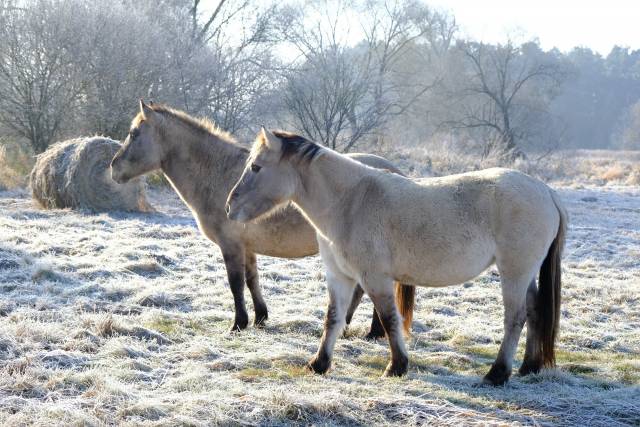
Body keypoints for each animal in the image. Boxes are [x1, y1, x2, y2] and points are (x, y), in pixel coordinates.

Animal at [110, 101, 416, 338]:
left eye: (134, 133)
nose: (113, 167)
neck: (218, 173)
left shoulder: (231, 245)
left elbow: (235, 283)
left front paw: (238, 324)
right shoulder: (247, 248)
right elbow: (251, 280)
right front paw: (260, 317)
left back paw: (371, 331)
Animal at [228, 129, 568, 386]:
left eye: (256, 167)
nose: (230, 207)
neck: (351, 201)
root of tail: (546, 191)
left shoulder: (375, 279)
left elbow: (390, 319)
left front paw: (397, 366)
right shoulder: (340, 276)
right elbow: (333, 318)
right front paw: (319, 364)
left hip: (514, 273)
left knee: (515, 318)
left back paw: (497, 374)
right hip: (524, 274)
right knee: (535, 311)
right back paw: (528, 367)